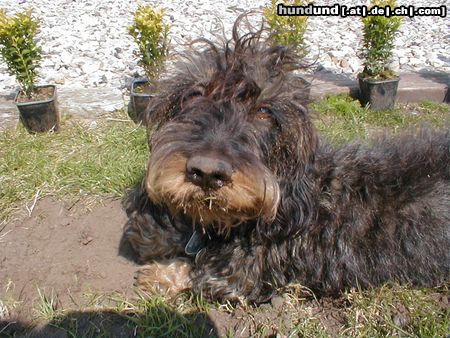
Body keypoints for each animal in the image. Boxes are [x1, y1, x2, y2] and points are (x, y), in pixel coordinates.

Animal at [121, 17, 448, 302]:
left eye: (265, 111)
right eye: (193, 94)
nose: (207, 173)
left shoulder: (240, 277)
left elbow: (195, 271)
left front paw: (160, 272)